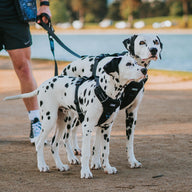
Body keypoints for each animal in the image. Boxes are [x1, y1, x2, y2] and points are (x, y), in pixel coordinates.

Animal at [60, 33, 163, 169]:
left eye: (156, 42)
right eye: (141, 42)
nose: (154, 50)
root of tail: (67, 67)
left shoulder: (131, 114)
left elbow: (129, 141)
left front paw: (132, 160)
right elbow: (97, 143)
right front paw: (96, 162)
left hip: (80, 113)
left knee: (73, 129)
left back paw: (76, 148)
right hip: (70, 115)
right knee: (65, 135)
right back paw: (71, 157)